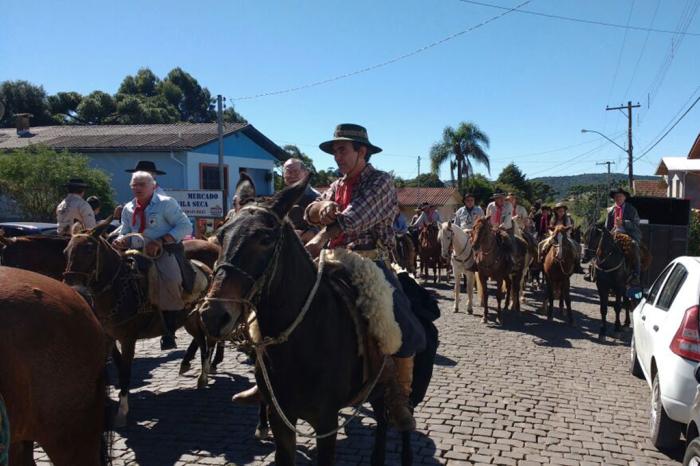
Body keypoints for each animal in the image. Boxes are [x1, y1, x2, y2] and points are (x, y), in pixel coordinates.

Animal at [62, 222, 211, 426]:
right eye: (66, 250)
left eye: (89, 249)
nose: (72, 286)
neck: (118, 290)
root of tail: (206, 269)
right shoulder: (108, 337)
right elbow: (111, 367)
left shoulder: (128, 339)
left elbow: (125, 371)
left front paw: (122, 410)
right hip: (189, 319)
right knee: (199, 339)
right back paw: (189, 365)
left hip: (196, 317)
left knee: (204, 342)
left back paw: (203, 375)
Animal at [198, 179, 438, 466]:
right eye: (221, 235)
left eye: (265, 238)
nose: (213, 314)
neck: (303, 339)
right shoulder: (282, 418)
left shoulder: (326, 422)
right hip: (378, 389)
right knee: (381, 419)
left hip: (412, 385)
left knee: (403, 423)